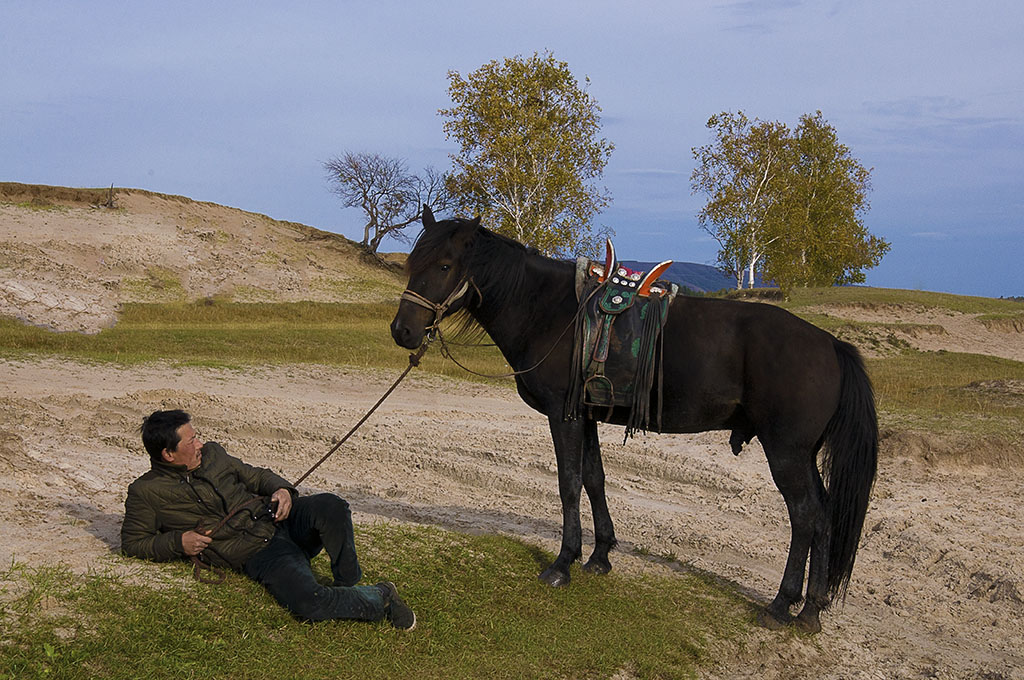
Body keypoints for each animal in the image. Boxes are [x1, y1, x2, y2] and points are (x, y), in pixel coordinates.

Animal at [387, 206, 876, 630]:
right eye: (414, 262)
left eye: (445, 265)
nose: (403, 331)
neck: (548, 311)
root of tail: (832, 345)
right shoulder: (584, 415)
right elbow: (594, 479)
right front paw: (599, 555)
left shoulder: (563, 416)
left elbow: (568, 483)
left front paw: (562, 563)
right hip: (803, 456)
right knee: (824, 516)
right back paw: (811, 609)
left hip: (787, 453)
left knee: (806, 516)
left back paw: (783, 604)